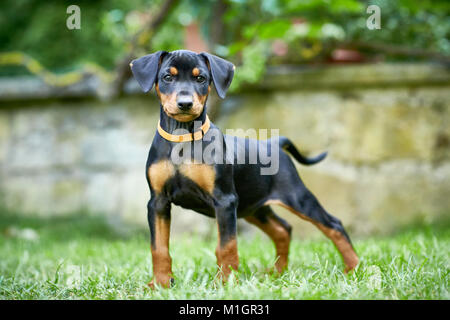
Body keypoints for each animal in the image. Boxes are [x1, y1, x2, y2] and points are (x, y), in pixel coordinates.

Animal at [129, 50, 358, 288]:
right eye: (167, 77)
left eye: (201, 78)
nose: (185, 104)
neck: (182, 137)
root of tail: (273, 143)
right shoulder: (158, 202)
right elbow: (159, 247)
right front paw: (160, 284)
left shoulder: (225, 200)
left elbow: (226, 246)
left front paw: (225, 283)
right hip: (254, 207)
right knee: (283, 229)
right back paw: (277, 272)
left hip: (295, 197)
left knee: (333, 224)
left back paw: (353, 268)